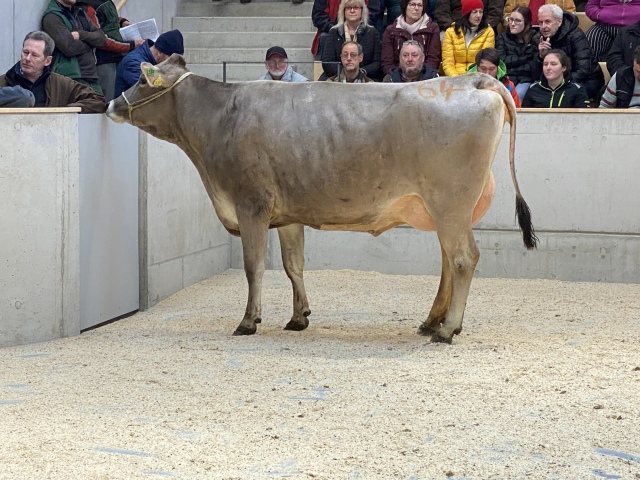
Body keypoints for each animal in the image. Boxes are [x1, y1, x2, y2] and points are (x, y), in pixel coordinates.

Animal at [107, 54, 536, 344]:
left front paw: (248, 321)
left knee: (463, 258)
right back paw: (432, 321)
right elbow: (293, 265)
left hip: (450, 203)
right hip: (444, 209)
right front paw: (299, 317)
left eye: (142, 79)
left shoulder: (251, 205)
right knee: (450, 260)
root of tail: (473, 80)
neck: (218, 121)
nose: (110, 104)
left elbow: (254, 267)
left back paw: (447, 330)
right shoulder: (288, 213)